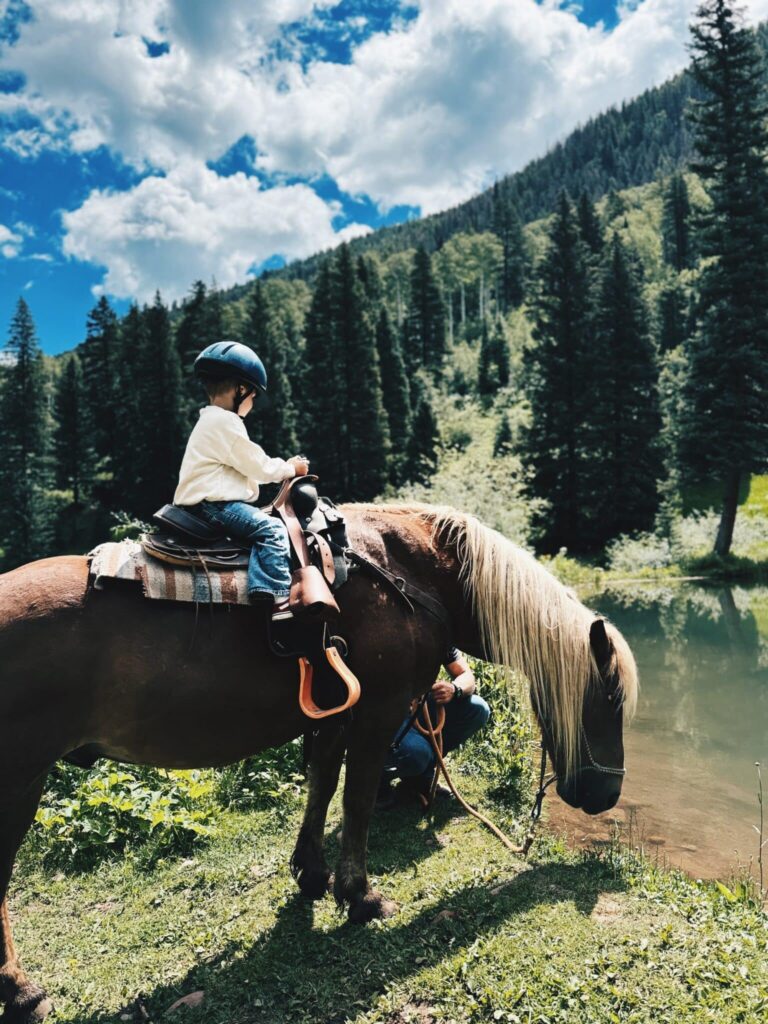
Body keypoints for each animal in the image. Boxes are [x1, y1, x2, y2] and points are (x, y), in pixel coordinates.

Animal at [0, 503, 638, 1023]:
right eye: (610, 698)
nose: (607, 795)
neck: (413, 573)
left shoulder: (334, 712)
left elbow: (323, 785)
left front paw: (312, 873)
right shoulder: (379, 709)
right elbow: (356, 797)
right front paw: (361, 897)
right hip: (20, 781)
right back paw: (22, 992)